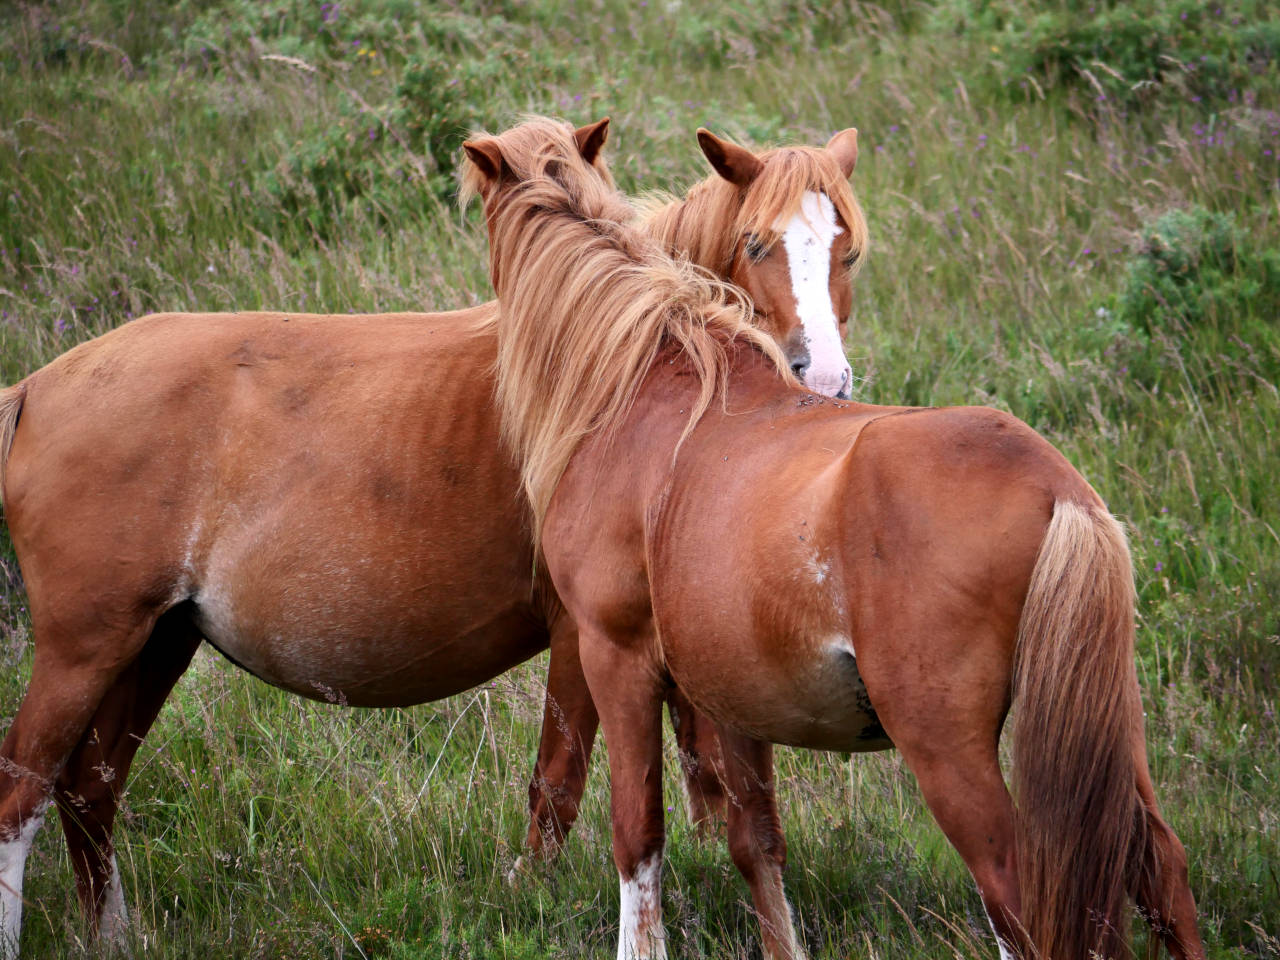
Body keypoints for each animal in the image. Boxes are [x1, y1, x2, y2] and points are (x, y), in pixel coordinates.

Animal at [0, 120, 870, 957]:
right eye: (755, 244)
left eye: (848, 250)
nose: (825, 380)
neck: (621, 370)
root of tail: (37, 388)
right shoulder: (581, 635)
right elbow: (561, 782)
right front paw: (532, 899)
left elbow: (708, 787)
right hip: (85, 649)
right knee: (22, 792)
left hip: (153, 644)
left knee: (89, 788)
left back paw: (114, 937)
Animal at [465, 118, 1203, 960]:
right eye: (754, 243)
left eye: (848, 253)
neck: (647, 384)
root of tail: (1056, 486)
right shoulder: (732, 696)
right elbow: (756, 843)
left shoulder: (614, 660)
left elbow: (637, 837)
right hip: (1107, 738)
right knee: (1161, 868)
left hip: (949, 753)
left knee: (1016, 896)